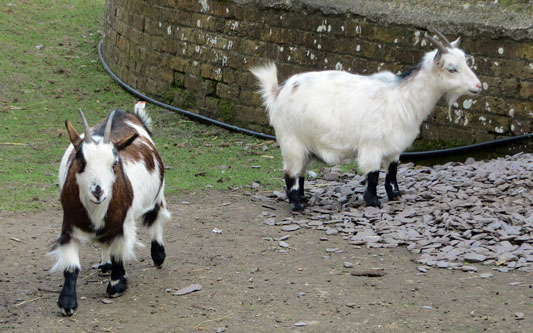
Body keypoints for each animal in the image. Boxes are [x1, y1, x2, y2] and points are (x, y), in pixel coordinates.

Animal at [49, 103, 170, 314]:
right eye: (81, 162)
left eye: (114, 164)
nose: (98, 192)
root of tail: (127, 115)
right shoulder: (69, 224)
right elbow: (71, 266)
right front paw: (67, 303)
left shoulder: (121, 224)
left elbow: (118, 253)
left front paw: (117, 286)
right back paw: (105, 264)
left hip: (157, 194)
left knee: (156, 218)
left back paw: (158, 256)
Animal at [251, 30, 480, 208]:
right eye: (452, 68)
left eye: (466, 61)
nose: (478, 86)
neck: (402, 96)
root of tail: (277, 91)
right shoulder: (372, 144)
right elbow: (373, 174)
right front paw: (373, 202)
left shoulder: (395, 145)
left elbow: (392, 172)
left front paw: (395, 196)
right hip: (291, 139)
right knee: (291, 173)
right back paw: (298, 204)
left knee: (300, 172)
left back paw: (304, 199)